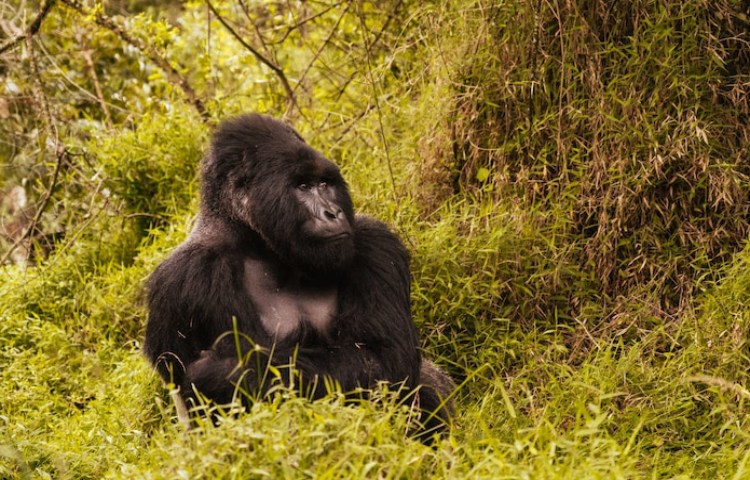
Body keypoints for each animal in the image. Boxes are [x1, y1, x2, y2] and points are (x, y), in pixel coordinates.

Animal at [145, 113, 456, 442]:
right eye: (303, 186)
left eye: (324, 184)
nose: (333, 213)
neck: (258, 245)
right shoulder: (184, 280)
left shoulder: (375, 242)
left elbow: (383, 357)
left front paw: (225, 372)